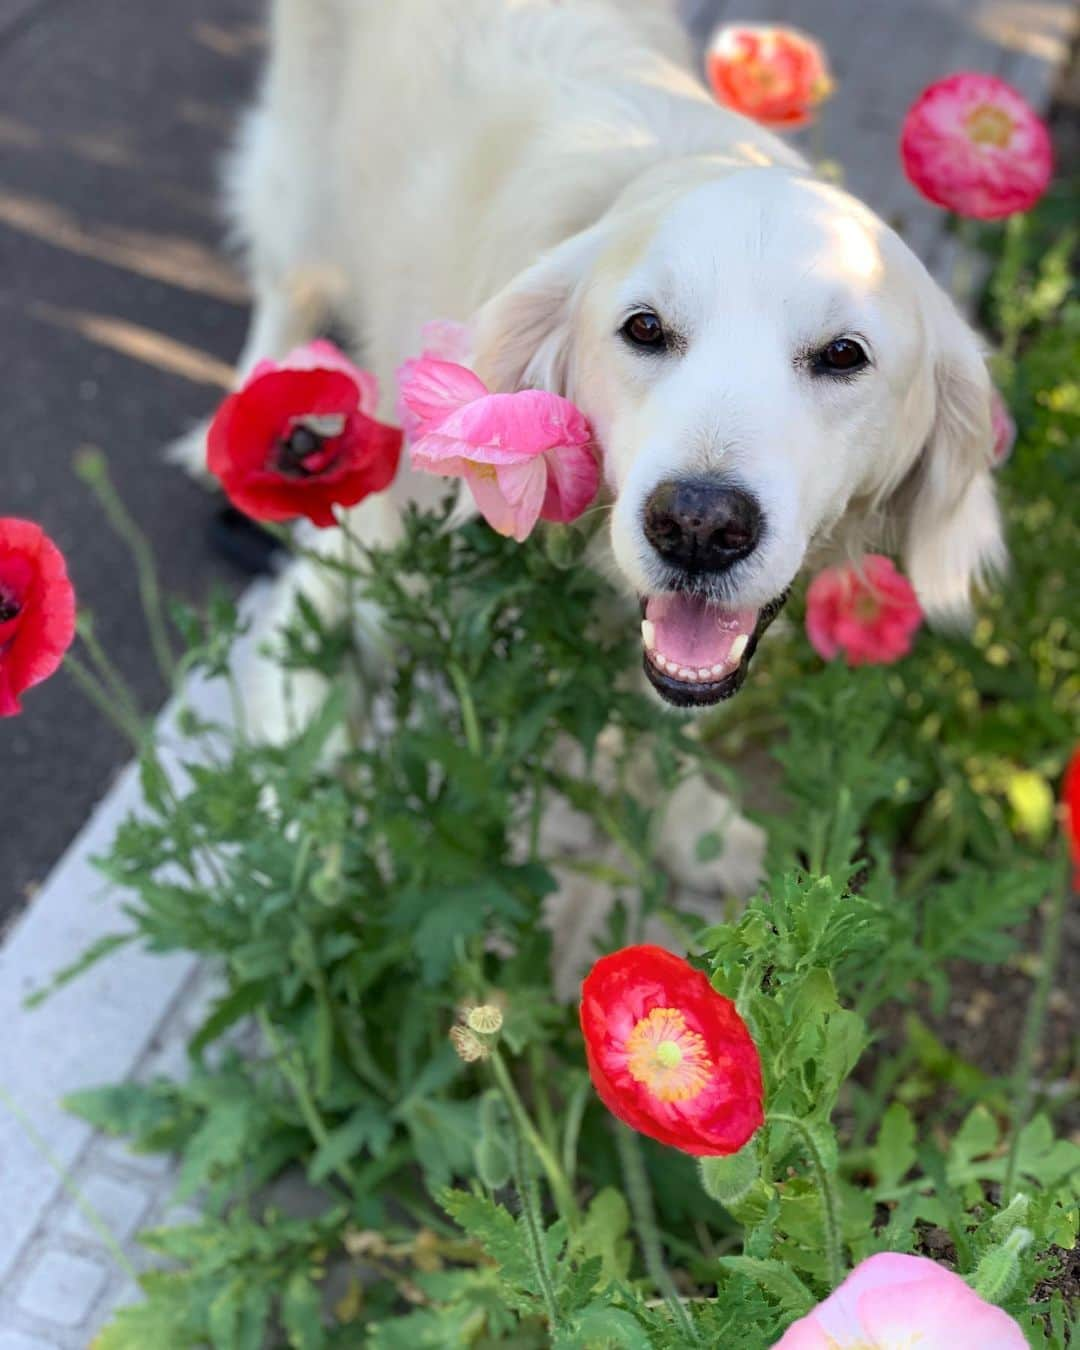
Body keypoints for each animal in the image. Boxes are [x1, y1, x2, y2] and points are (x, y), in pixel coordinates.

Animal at [198, 0, 1009, 901]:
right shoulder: (341, 575)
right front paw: (329, 885)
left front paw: (696, 833)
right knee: (287, 283)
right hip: (300, 174)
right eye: (644, 328)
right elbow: (309, 785)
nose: (697, 526)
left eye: (843, 355)